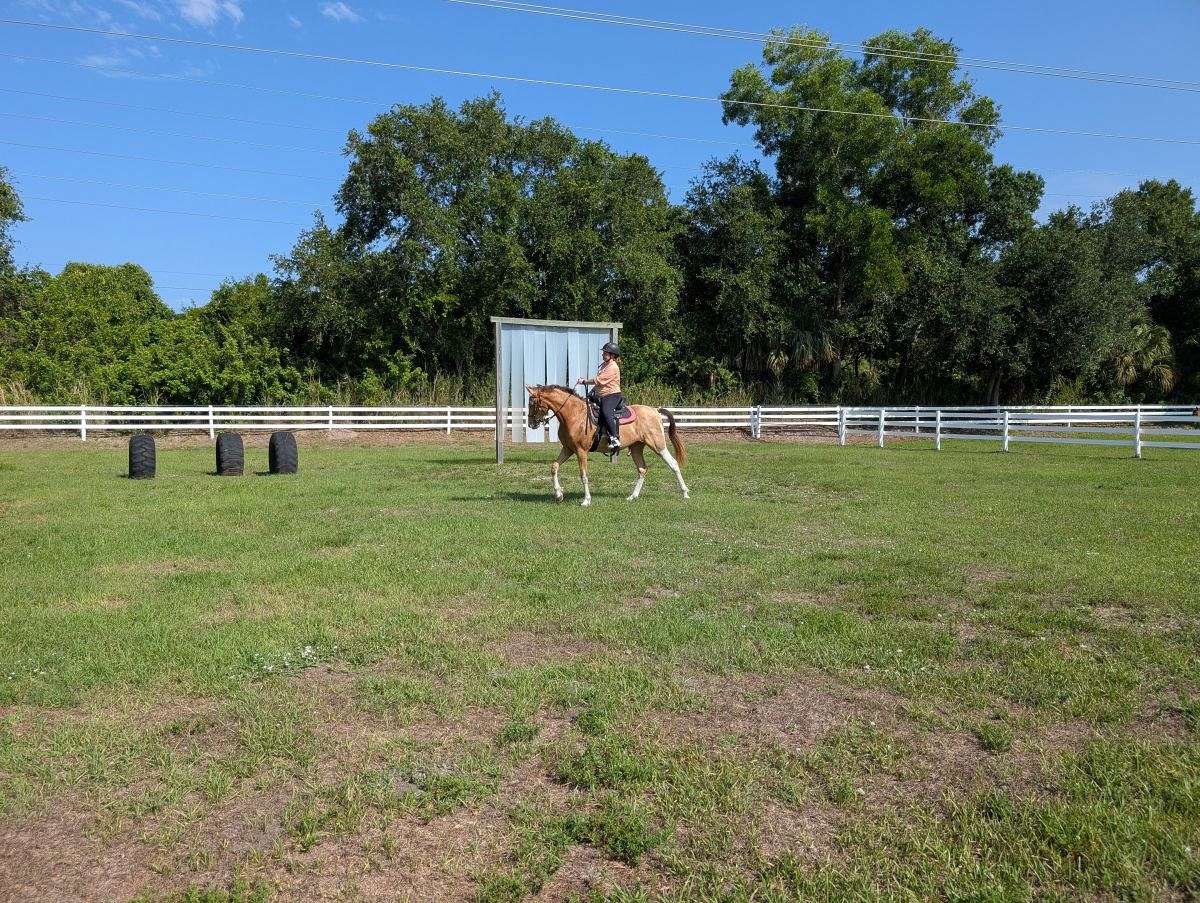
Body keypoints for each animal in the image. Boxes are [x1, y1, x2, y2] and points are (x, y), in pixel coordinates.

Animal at [525, 385, 689, 506]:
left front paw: (586, 500)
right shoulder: (568, 449)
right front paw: (559, 495)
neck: (574, 415)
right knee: (642, 469)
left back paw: (685, 493)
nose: (531, 424)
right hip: (636, 448)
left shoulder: (581, 451)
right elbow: (554, 467)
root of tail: (655, 410)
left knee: (673, 464)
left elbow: (583, 475)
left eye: (532, 403)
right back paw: (633, 496)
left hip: (658, 445)